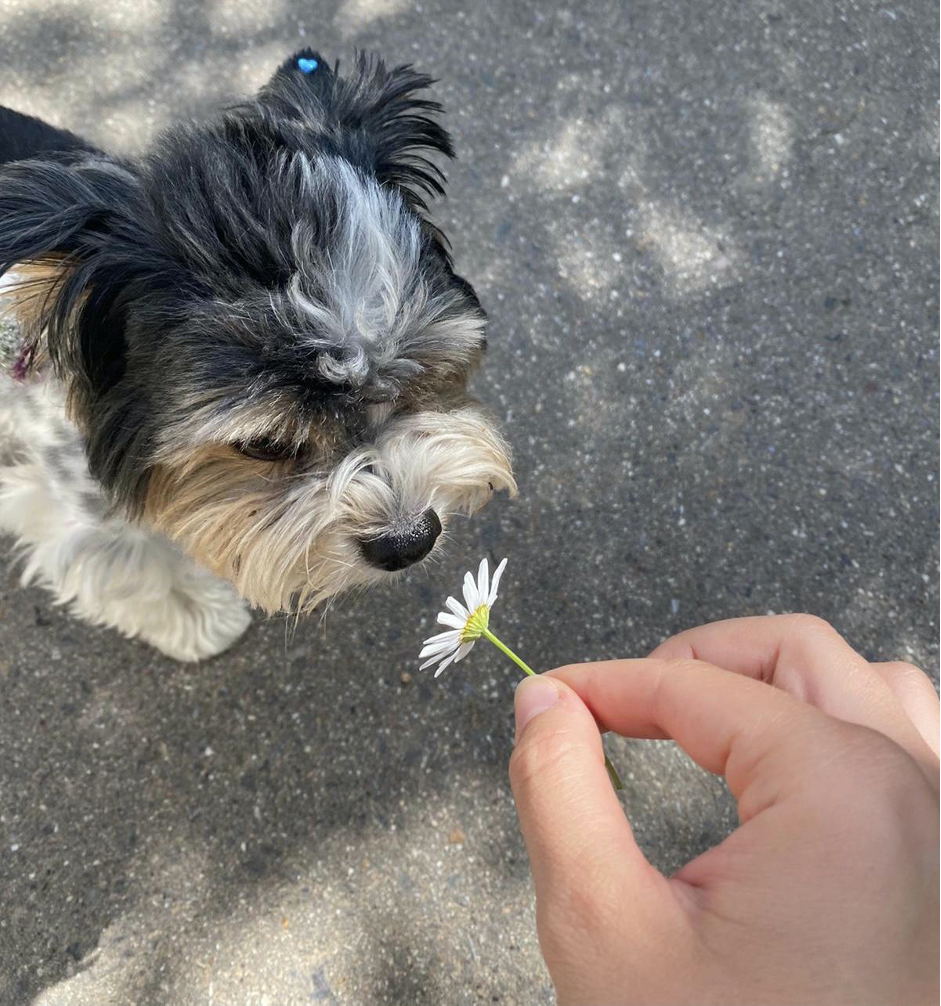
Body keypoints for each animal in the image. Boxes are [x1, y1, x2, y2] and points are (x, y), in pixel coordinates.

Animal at [0, 51, 515, 659]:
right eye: (264, 445)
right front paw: (195, 614)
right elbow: (128, 558)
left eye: (418, 375)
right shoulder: (76, 496)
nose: (411, 540)